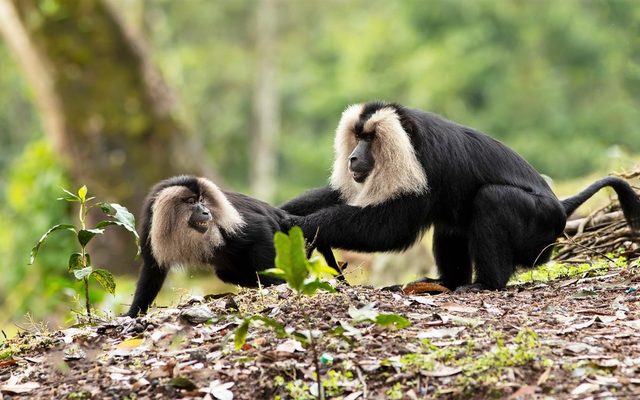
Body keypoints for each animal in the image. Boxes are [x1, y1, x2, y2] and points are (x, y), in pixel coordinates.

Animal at [282, 101, 640, 291]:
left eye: (369, 139)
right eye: (357, 138)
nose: (354, 158)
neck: (408, 140)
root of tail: (559, 207)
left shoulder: (425, 165)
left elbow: (393, 229)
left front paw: (306, 226)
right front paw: (284, 213)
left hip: (538, 229)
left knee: (492, 199)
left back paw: (486, 284)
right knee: (451, 225)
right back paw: (446, 282)